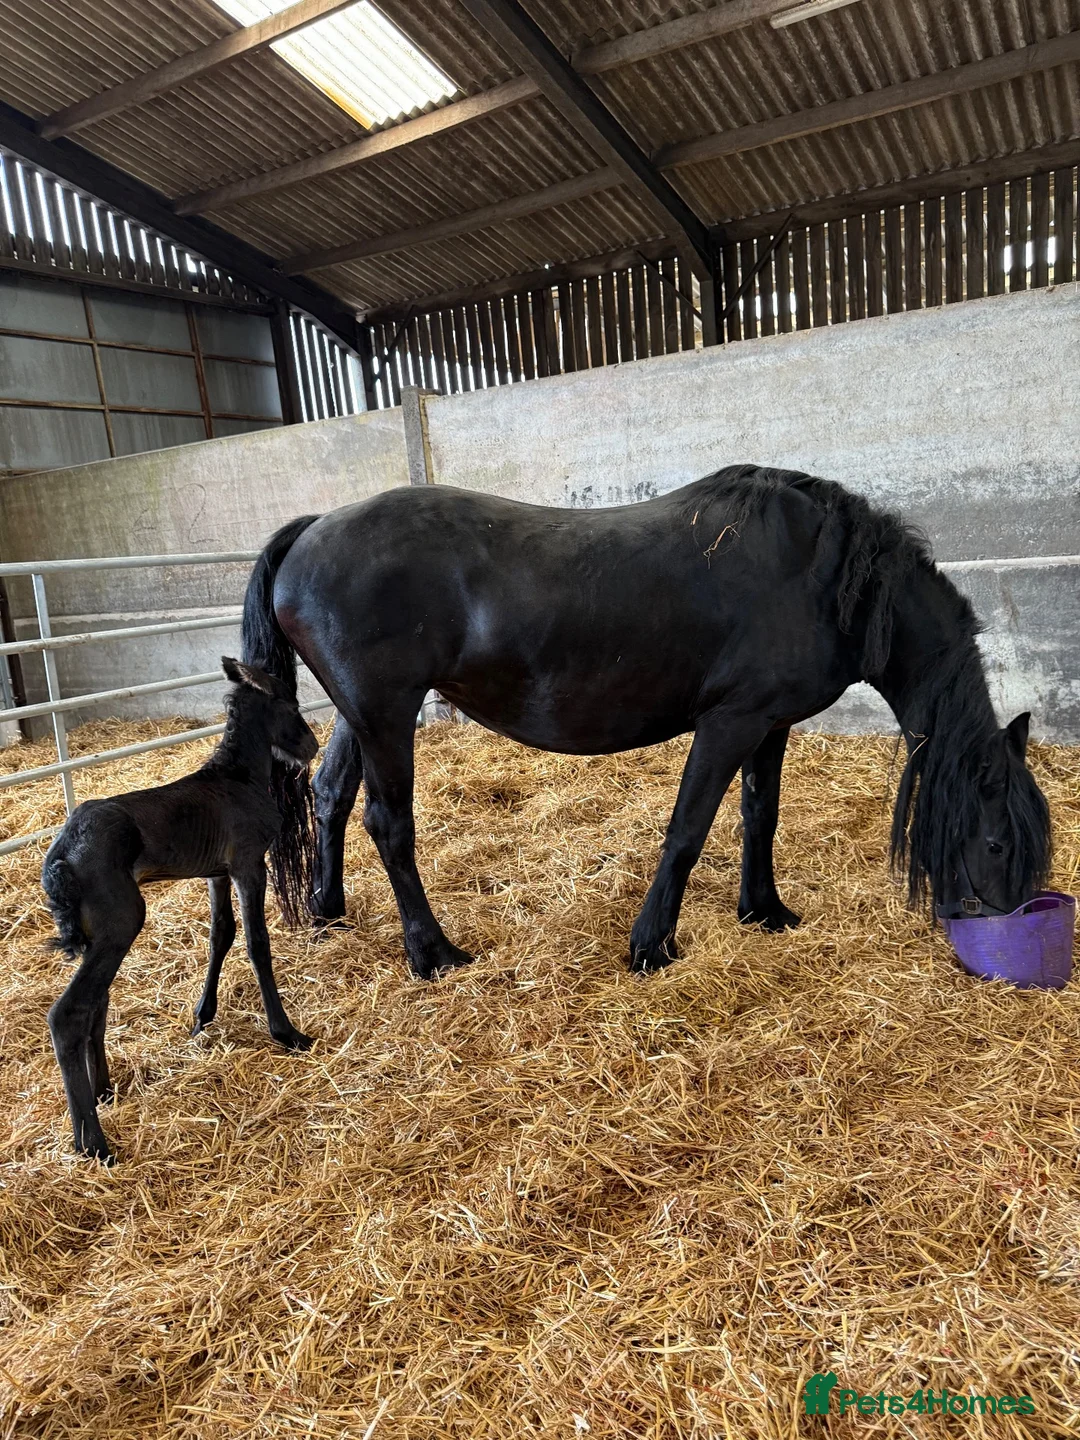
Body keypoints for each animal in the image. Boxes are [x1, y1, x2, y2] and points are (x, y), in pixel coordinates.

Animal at [42, 658, 319, 1162]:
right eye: (291, 706)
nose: (310, 746)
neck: (236, 778)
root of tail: (63, 855)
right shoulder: (249, 863)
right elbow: (257, 943)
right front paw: (286, 1033)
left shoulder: (217, 871)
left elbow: (221, 933)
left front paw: (202, 1017)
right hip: (121, 923)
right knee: (69, 1012)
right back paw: (92, 1142)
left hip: (98, 935)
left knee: (96, 1001)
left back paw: (104, 1091)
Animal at [239, 465, 1051, 981]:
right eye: (996, 840)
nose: (1014, 924)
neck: (822, 576)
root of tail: (310, 531)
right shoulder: (731, 722)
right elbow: (688, 830)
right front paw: (651, 946)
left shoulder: (770, 726)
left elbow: (760, 816)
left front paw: (764, 911)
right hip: (385, 714)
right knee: (388, 823)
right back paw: (432, 953)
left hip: (365, 715)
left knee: (331, 797)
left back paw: (328, 914)